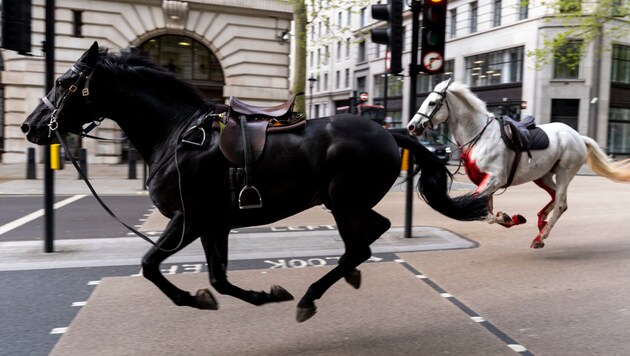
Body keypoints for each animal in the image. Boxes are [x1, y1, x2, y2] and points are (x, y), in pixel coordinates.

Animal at [22, 42, 488, 322]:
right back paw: (346, 276)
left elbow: (151, 265)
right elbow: (218, 279)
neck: (176, 135)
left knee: (360, 245)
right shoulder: (214, 224)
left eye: (64, 82)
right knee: (373, 234)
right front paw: (259, 295)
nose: (30, 127)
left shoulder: (189, 219)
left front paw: (192, 298)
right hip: (347, 202)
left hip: (343, 202)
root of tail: (388, 132)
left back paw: (311, 296)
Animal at [408, 79, 630, 249]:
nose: (411, 126)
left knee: (560, 204)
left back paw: (540, 237)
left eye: (432, 102)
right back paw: (541, 221)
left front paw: (507, 217)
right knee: (556, 198)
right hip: (543, 175)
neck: (480, 135)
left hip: (565, 173)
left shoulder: (495, 178)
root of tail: (578, 136)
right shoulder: (487, 182)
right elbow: (486, 212)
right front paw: (511, 218)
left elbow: (482, 212)